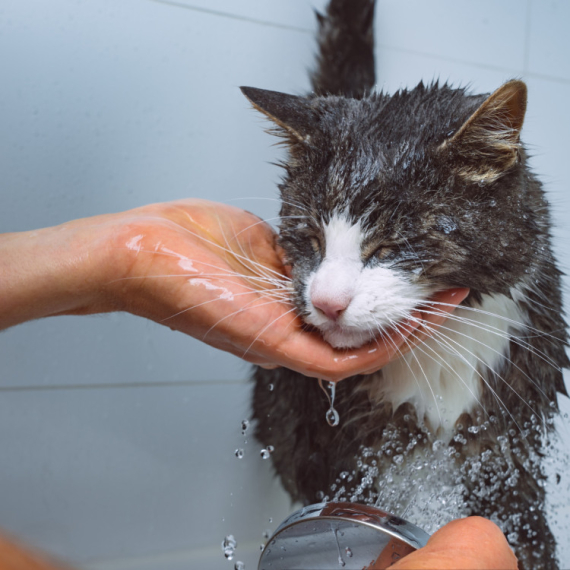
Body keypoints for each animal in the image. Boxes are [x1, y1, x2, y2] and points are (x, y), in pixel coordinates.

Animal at [241, 2, 568, 564]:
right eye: (310, 239)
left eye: (391, 247)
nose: (327, 302)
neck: (442, 349)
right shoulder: (345, 450)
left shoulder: (509, 443)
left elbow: (524, 531)